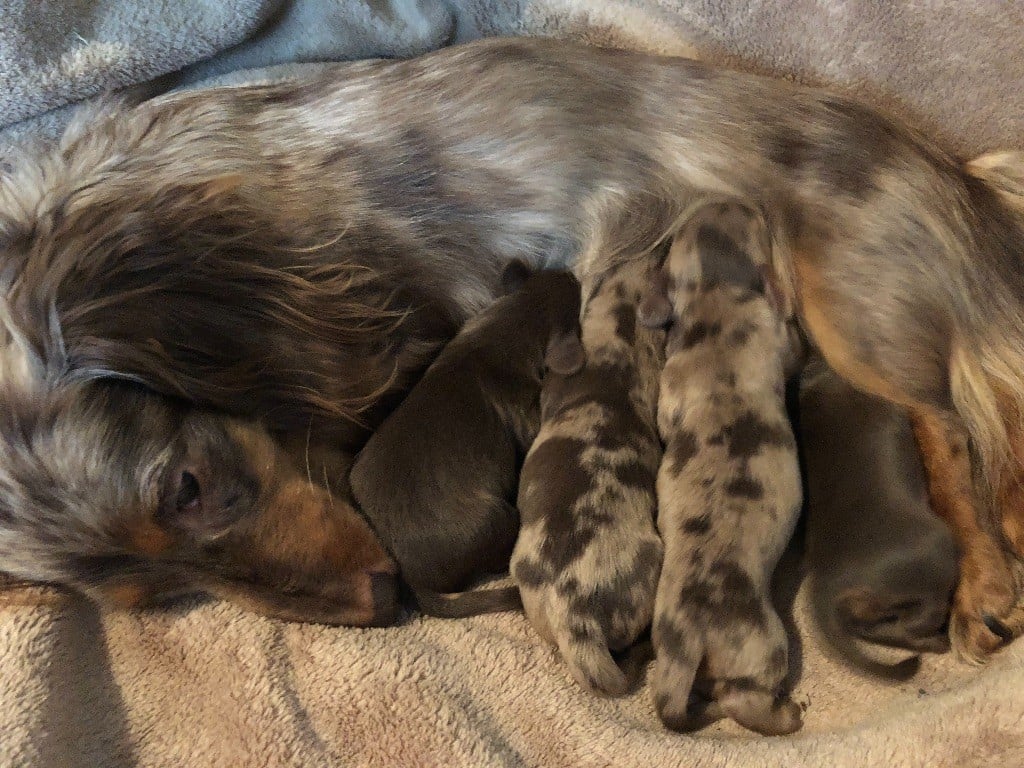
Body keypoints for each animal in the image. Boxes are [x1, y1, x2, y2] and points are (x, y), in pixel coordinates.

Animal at [350, 261, 584, 605]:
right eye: (576, 291)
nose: (570, 271)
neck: (513, 318)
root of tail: (413, 579)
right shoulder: (526, 410)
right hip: (498, 518)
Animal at [642, 202, 803, 735]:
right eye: (752, 218)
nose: (744, 200)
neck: (714, 293)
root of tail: (689, 639)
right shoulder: (777, 333)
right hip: (767, 646)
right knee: (743, 699)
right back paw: (788, 714)